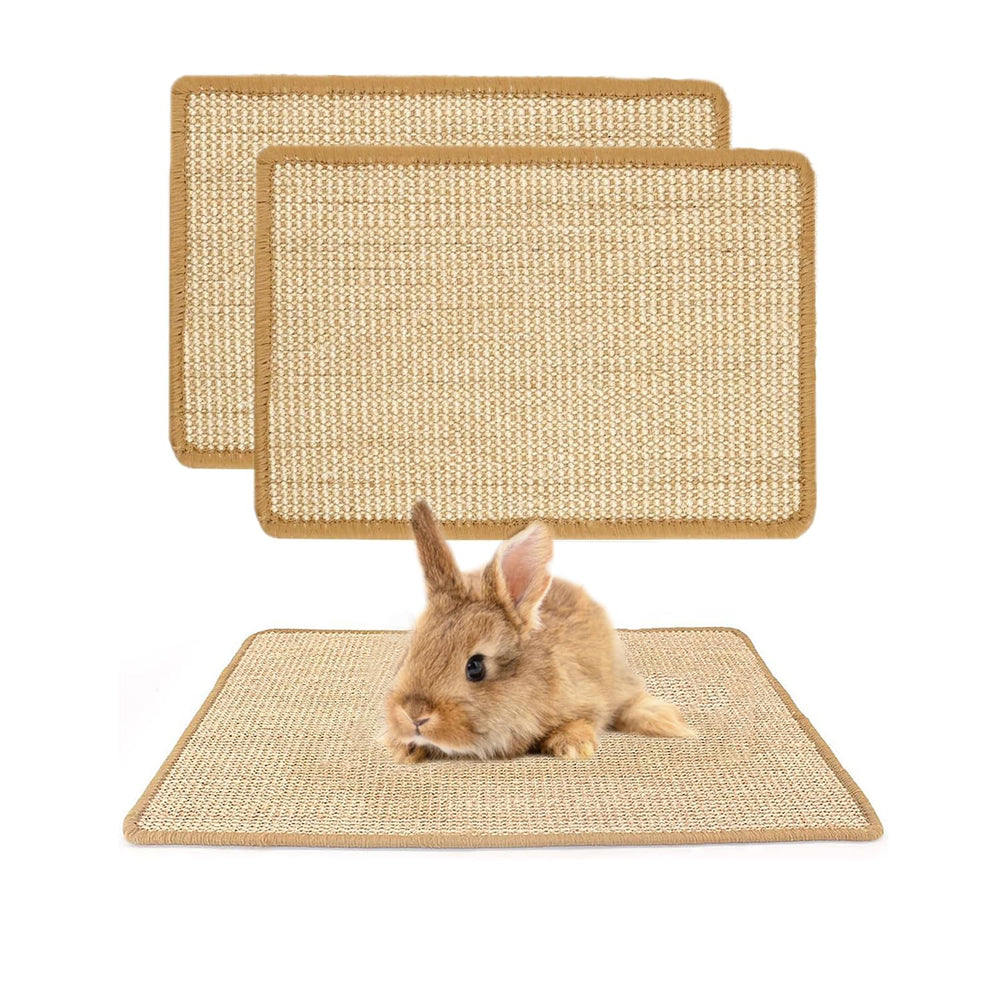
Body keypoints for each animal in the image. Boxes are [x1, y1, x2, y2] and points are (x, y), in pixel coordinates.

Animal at [382, 502, 694, 763]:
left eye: (475, 667)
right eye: (410, 652)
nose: (414, 715)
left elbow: (587, 718)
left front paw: (573, 746)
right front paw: (400, 748)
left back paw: (667, 720)